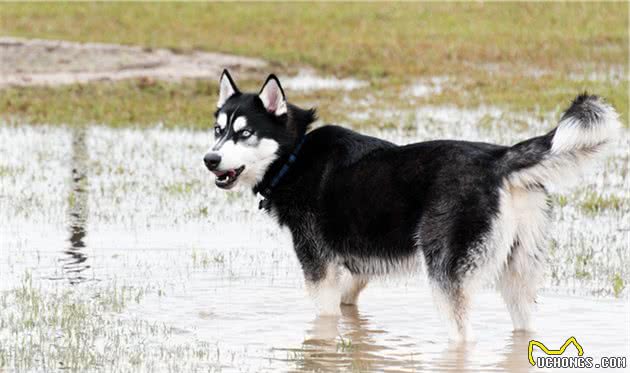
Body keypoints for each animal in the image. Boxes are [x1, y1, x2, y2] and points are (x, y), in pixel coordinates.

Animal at [204, 69, 624, 340]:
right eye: (218, 130)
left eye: (245, 133)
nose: (210, 159)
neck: (296, 154)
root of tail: (498, 159)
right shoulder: (357, 268)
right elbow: (349, 304)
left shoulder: (318, 270)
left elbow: (323, 322)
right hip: (517, 281)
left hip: (445, 279)